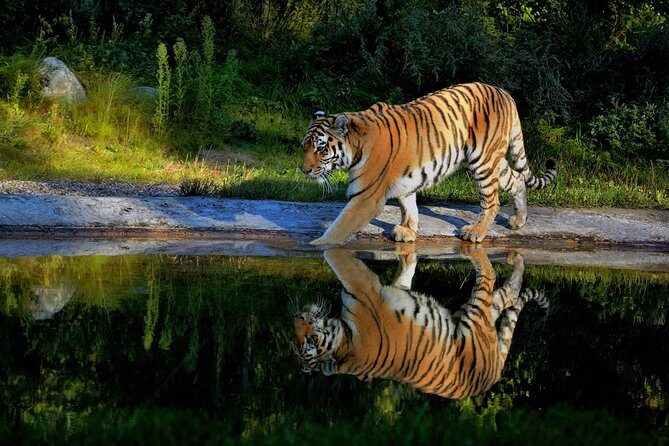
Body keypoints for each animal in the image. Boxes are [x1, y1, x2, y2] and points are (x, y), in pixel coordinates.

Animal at [292, 245, 548, 399]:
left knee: (501, 286)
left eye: (310, 339)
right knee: (500, 287)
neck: (345, 344)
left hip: (475, 315)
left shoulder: (365, 289)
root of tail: (490, 380)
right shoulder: (365, 289)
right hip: (478, 317)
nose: (297, 317)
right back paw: (512, 258)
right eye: (301, 341)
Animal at [300, 82, 557, 244]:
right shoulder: (405, 179)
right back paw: (519, 220)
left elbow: (340, 227)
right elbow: (407, 204)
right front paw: (407, 229)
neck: (356, 146)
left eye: (321, 148)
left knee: (492, 201)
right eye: (304, 147)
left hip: (483, 162)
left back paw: (475, 232)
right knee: (517, 179)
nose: (304, 170)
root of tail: (505, 93)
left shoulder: (366, 197)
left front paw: (317, 245)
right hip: (491, 161)